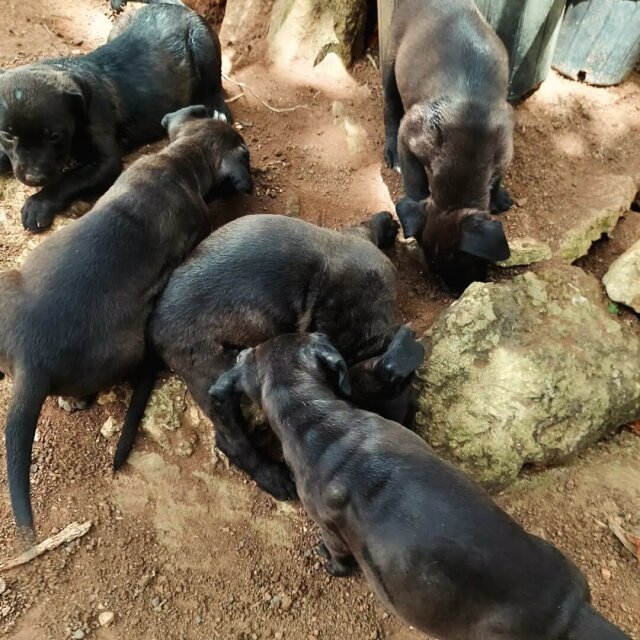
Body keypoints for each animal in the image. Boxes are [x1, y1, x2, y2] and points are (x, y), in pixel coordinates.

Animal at [0, 1, 230, 231]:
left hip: (202, 43)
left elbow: (68, 179)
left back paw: (218, 111)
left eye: (54, 136)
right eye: (8, 136)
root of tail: (167, 4)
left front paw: (38, 204)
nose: (34, 178)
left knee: (214, 85)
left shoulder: (106, 162)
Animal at [114, 212, 422, 502]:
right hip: (212, 374)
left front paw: (385, 225)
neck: (363, 340)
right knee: (231, 441)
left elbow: (366, 227)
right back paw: (273, 477)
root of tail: (153, 326)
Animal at [384, 0, 516, 294]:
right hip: (390, 63)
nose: (458, 292)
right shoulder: (408, 134)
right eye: (434, 267)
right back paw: (389, 151)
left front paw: (498, 197)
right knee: (389, 107)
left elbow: (496, 180)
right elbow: (415, 183)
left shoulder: (504, 151)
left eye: (466, 263)